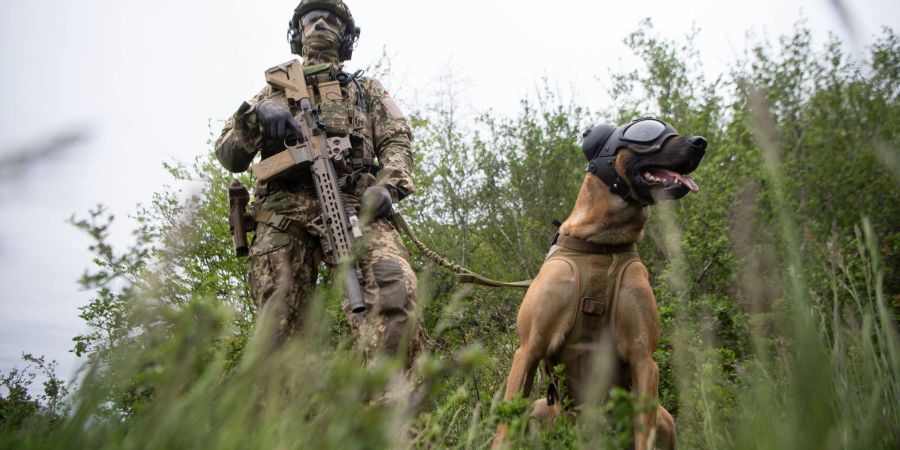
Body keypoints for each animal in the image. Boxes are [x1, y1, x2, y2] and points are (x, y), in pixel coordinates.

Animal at [496, 119, 708, 450]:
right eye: (646, 132)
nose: (701, 142)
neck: (602, 243)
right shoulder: (528, 349)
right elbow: (504, 430)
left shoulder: (643, 358)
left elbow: (643, 436)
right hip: (541, 408)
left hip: (664, 416)